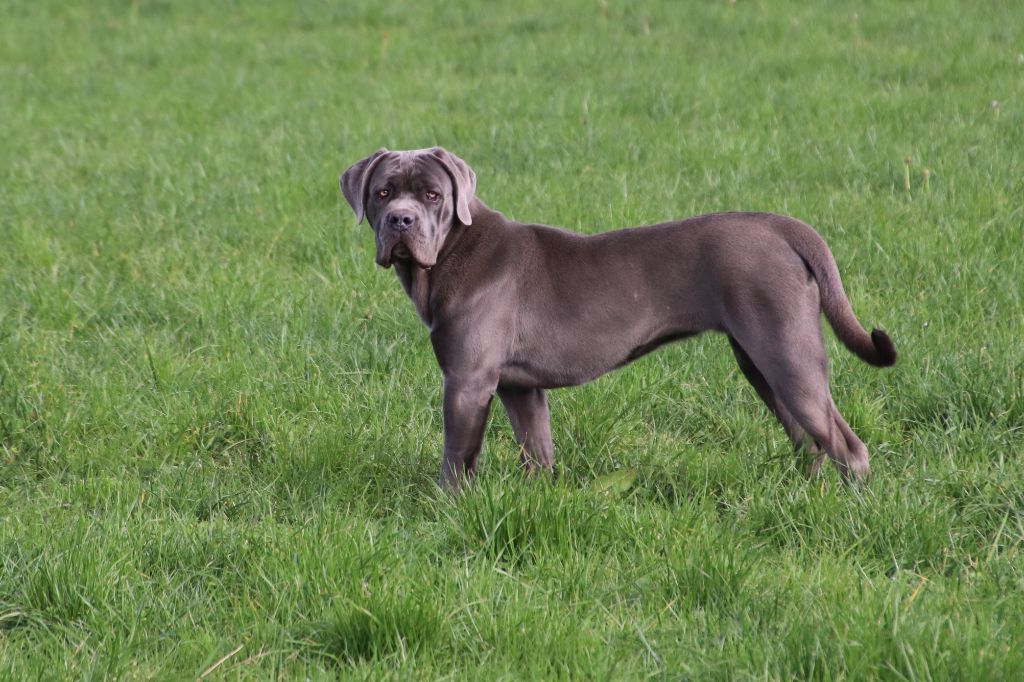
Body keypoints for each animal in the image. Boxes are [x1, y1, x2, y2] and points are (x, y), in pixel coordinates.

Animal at [340, 147, 896, 491]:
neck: (452, 251)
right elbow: (537, 451)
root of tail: (779, 227)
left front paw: (446, 509)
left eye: (432, 195)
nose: (401, 221)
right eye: (383, 193)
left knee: (846, 444)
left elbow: (456, 460)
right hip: (760, 362)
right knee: (809, 440)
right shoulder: (520, 388)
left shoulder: (467, 381)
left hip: (786, 355)